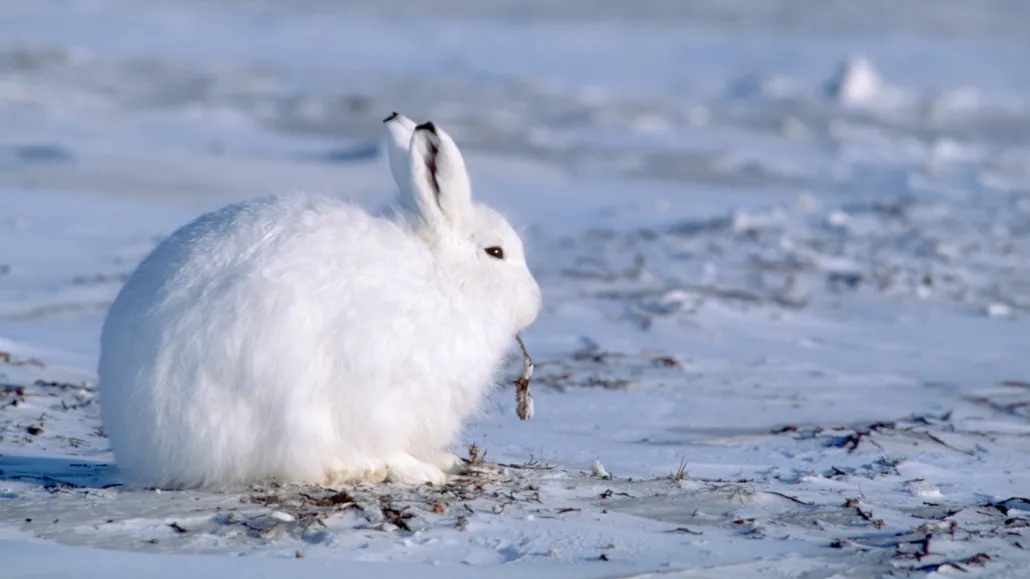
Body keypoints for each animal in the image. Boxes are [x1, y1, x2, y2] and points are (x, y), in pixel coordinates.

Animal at [97, 114, 543, 490]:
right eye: (495, 252)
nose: (535, 302)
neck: (443, 279)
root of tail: (145, 447)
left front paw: (442, 460)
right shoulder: (382, 391)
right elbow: (387, 440)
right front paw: (423, 471)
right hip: (281, 405)